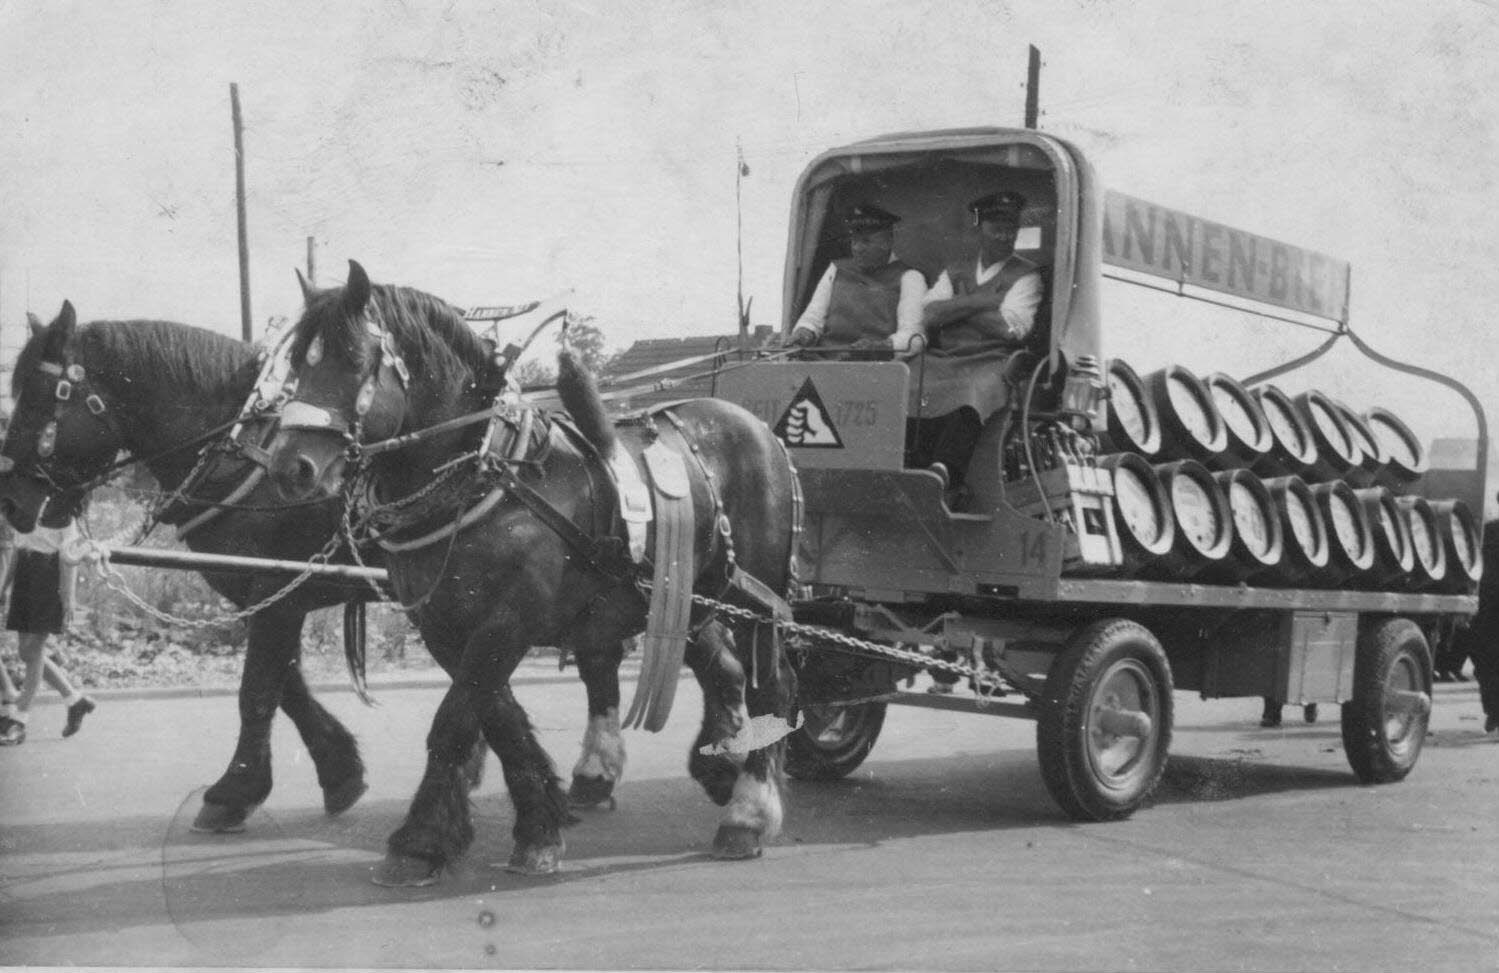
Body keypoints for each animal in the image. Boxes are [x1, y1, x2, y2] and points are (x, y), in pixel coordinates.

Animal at [263, 262, 803, 881]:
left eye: (353, 359)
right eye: (298, 361)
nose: (291, 467)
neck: (487, 478)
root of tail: (758, 429)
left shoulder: (507, 621)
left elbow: (455, 721)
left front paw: (419, 840)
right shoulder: (446, 627)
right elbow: (500, 721)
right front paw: (534, 824)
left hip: (757, 598)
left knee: (774, 683)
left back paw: (748, 812)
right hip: (688, 599)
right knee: (726, 672)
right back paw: (720, 766)